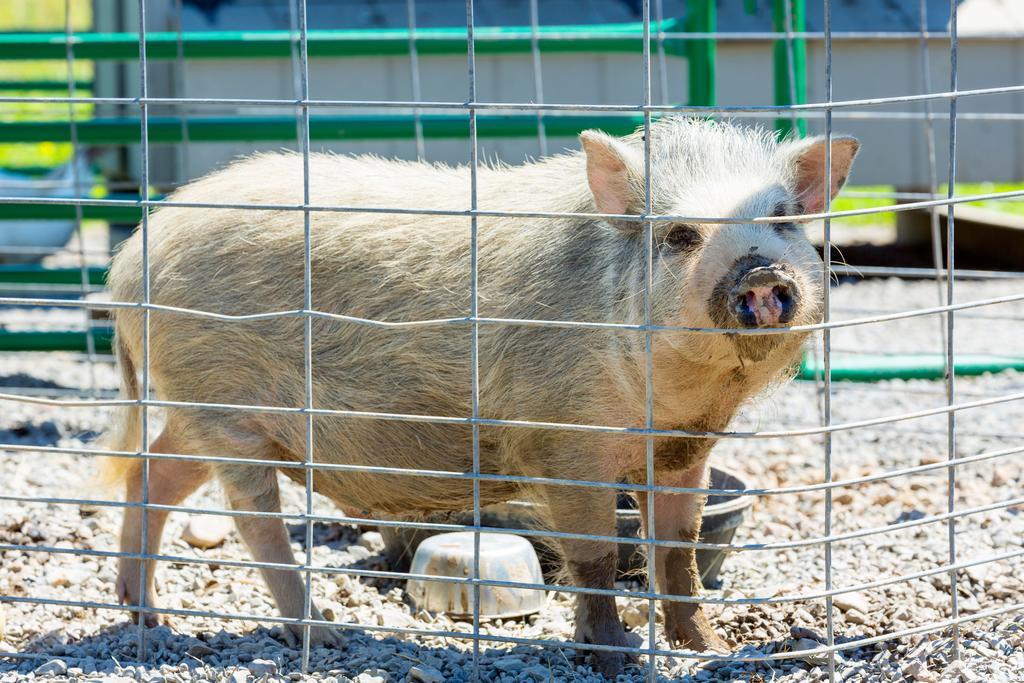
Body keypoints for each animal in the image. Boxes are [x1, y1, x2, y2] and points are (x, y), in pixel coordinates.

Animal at [99, 118, 860, 679]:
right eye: (679, 235)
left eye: (785, 220)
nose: (759, 273)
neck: (681, 398)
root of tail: (131, 258)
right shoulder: (564, 440)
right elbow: (595, 556)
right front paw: (613, 658)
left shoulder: (686, 448)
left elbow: (679, 550)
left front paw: (711, 649)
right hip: (224, 406)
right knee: (252, 521)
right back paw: (324, 637)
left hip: (199, 413)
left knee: (151, 473)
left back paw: (146, 615)